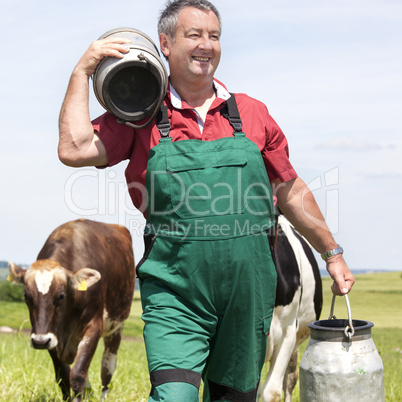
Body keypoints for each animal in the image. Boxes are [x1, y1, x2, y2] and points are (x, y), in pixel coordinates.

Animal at [7, 220, 136, 402]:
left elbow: (77, 374)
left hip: (116, 327)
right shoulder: (52, 336)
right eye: (26, 296)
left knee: (107, 368)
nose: (39, 341)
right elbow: (64, 376)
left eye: (61, 296)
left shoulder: (94, 328)